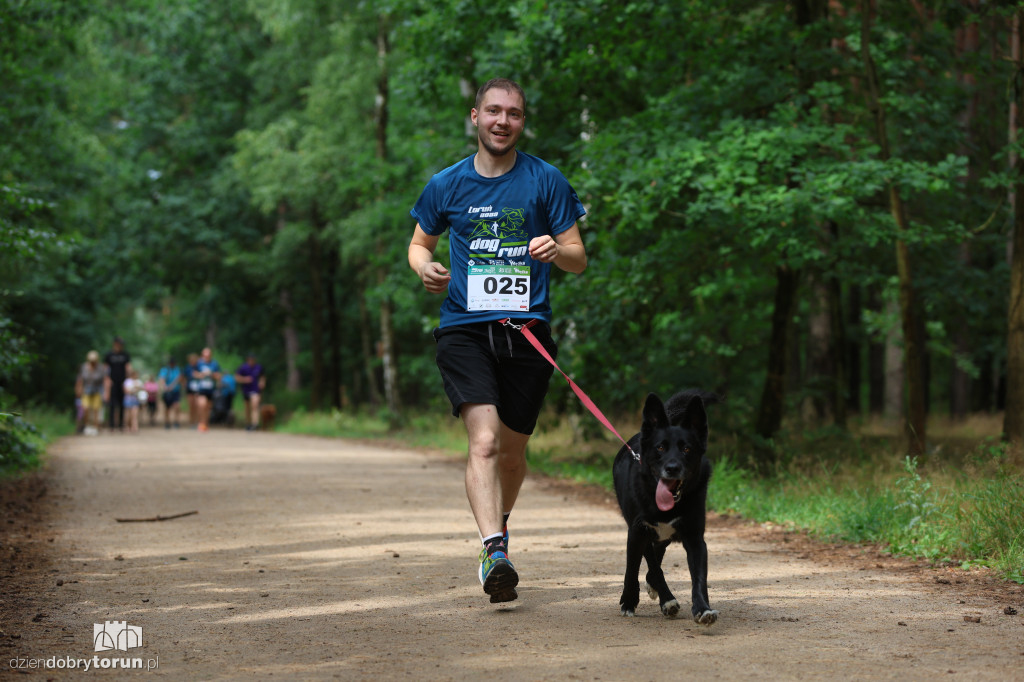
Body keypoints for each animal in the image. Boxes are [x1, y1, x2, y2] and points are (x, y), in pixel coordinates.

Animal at [614, 385, 720, 622]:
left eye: (687, 449)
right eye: (660, 448)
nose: (672, 468)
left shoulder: (695, 538)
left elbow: (699, 578)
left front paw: (702, 609)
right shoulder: (637, 531)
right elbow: (639, 567)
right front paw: (630, 600)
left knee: (658, 550)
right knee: (651, 560)